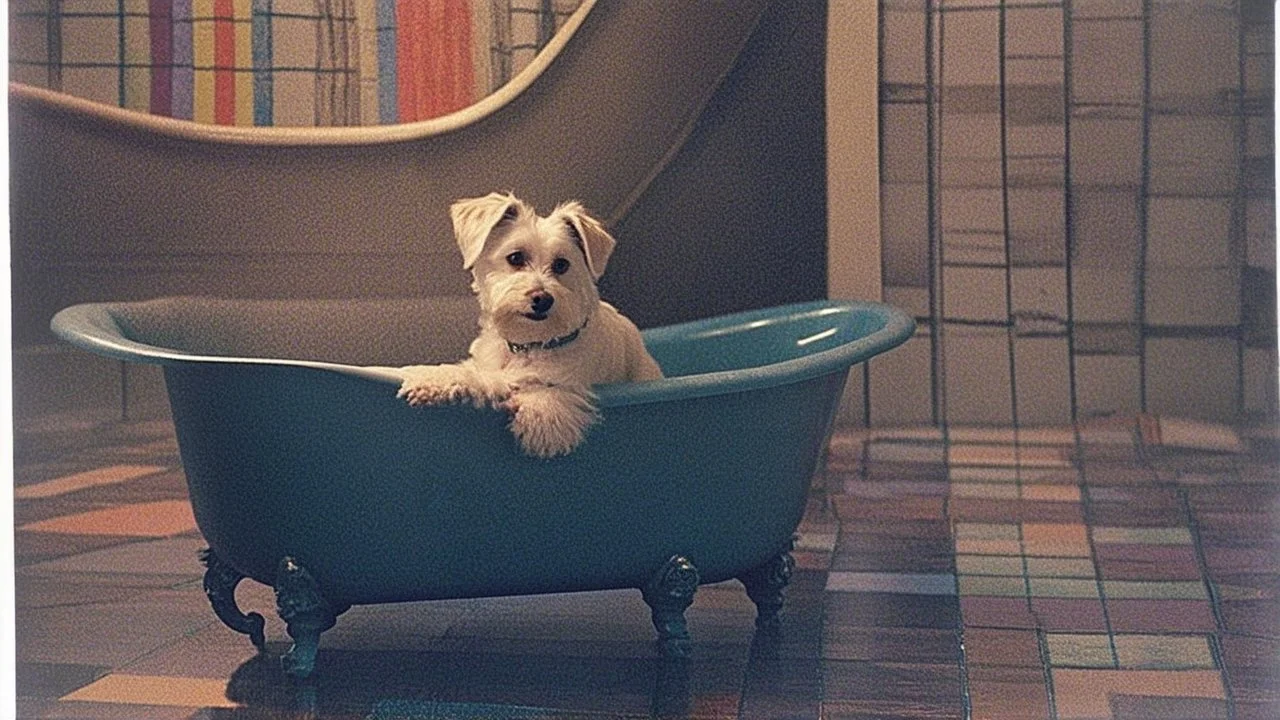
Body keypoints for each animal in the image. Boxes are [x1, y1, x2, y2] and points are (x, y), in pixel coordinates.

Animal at [396, 192, 660, 453]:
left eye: (562, 264)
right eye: (515, 257)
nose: (542, 299)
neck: (530, 344)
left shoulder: (567, 381)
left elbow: (544, 390)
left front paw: (541, 415)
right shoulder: (490, 367)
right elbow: (478, 376)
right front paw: (435, 379)